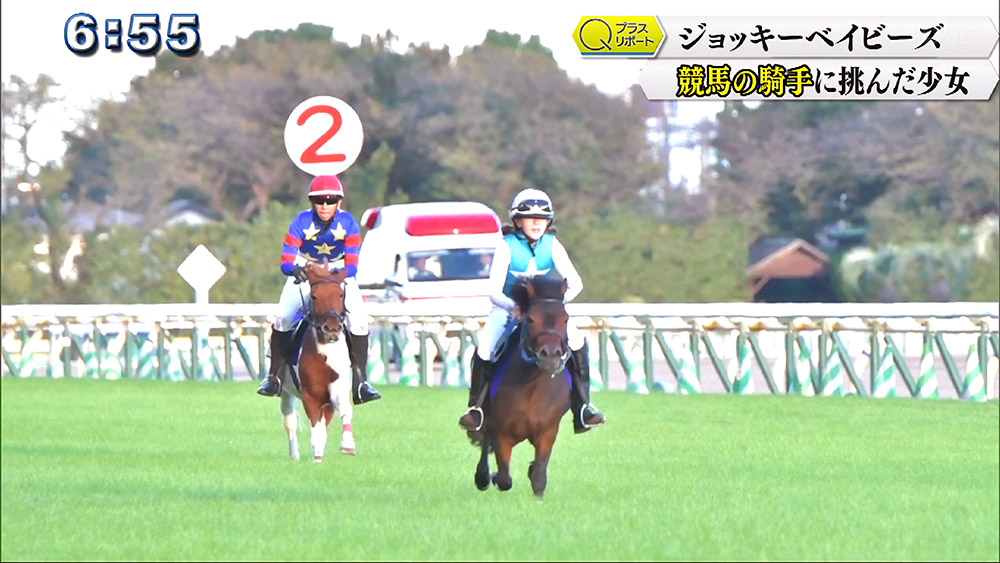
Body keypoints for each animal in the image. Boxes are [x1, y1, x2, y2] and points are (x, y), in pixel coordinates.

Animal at [280, 262, 358, 460]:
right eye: (314, 296)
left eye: (340, 294)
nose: (332, 328)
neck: (325, 351)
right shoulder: (310, 394)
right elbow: (316, 428)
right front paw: (316, 459)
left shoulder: (335, 391)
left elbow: (345, 410)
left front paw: (348, 444)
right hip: (286, 391)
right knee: (289, 421)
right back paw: (294, 455)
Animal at [470, 276, 572, 500]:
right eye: (531, 319)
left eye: (565, 319)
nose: (550, 355)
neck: (532, 388)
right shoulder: (502, 432)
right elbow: (504, 477)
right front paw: (493, 478)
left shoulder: (548, 431)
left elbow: (539, 476)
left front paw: (536, 483)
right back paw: (482, 477)